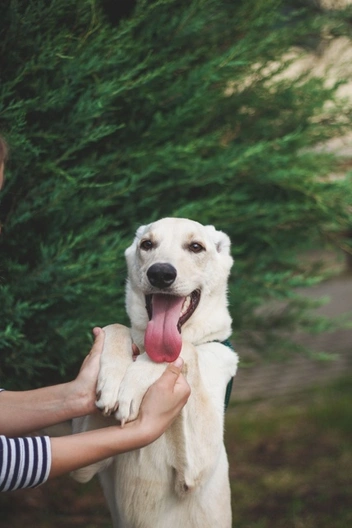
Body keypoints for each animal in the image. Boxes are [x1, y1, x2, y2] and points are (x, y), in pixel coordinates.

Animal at [72, 217, 238, 524]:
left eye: (196, 247)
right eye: (146, 244)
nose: (160, 273)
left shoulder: (199, 463)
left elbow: (185, 349)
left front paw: (132, 384)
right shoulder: (84, 465)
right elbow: (117, 327)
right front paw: (112, 379)